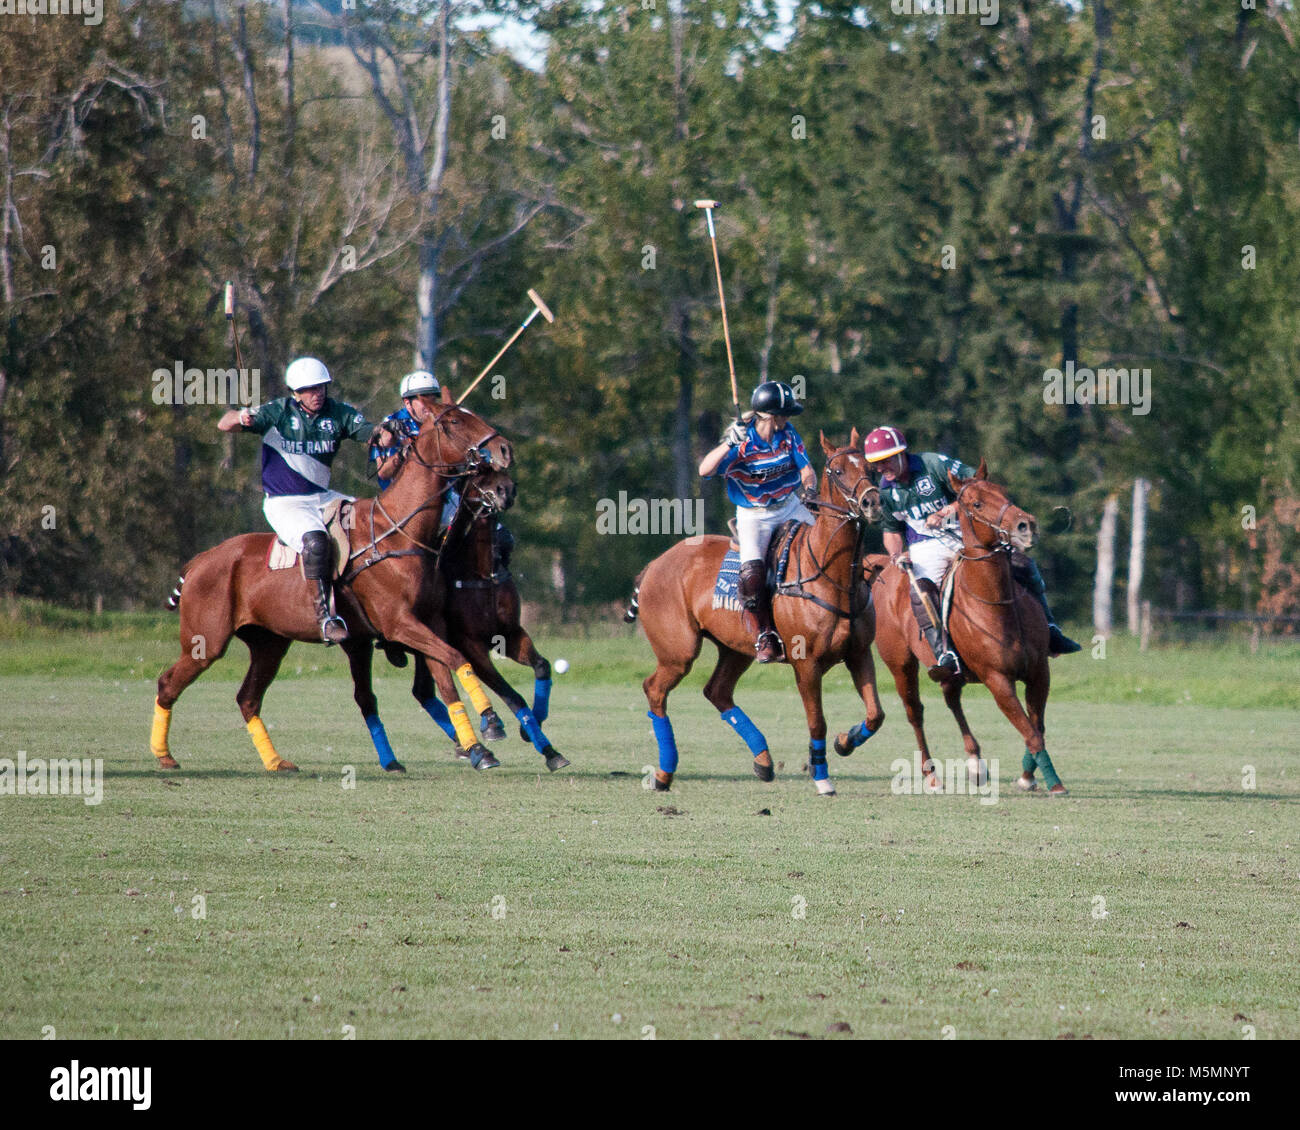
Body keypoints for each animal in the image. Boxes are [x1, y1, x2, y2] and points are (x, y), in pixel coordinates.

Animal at [150, 400, 512, 769]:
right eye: (453, 421)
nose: (503, 449)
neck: (400, 531)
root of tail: (199, 560)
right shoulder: (398, 623)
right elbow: (456, 658)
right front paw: (491, 724)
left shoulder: (430, 621)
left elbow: (449, 676)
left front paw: (479, 747)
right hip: (206, 641)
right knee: (168, 684)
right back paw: (165, 756)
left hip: (269, 643)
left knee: (248, 698)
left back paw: (276, 762)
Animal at [626, 429, 883, 795]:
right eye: (836, 471)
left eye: (871, 468)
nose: (871, 503)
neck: (833, 575)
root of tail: (652, 565)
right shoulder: (806, 664)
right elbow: (816, 722)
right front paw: (822, 779)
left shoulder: (860, 653)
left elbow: (876, 715)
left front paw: (845, 742)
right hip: (679, 651)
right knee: (655, 690)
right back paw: (663, 774)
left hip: (735, 648)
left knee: (717, 691)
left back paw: (763, 760)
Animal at [873, 457, 1066, 795]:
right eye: (976, 503)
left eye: (1004, 491)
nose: (1026, 526)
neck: (997, 603)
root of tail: (887, 567)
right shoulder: (997, 679)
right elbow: (1031, 731)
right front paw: (1054, 782)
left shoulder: (1039, 671)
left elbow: (1037, 726)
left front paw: (1028, 775)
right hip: (899, 662)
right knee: (915, 712)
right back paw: (932, 775)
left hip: (952, 673)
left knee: (952, 699)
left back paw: (976, 763)